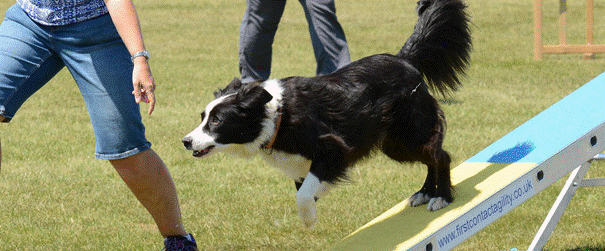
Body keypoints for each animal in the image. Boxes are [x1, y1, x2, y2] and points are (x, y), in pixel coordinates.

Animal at [182, 0, 470, 227]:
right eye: (202, 117)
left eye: (216, 121)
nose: (185, 141)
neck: (276, 117)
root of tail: (405, 59)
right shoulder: (302, 163)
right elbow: (306, 186)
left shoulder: (334, 147)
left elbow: (304, 193)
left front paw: (308, 218)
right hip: (394, 144)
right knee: (430, 158)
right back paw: (425, 193)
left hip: (409, 132)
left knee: (440, 156)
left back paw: (441, 197)